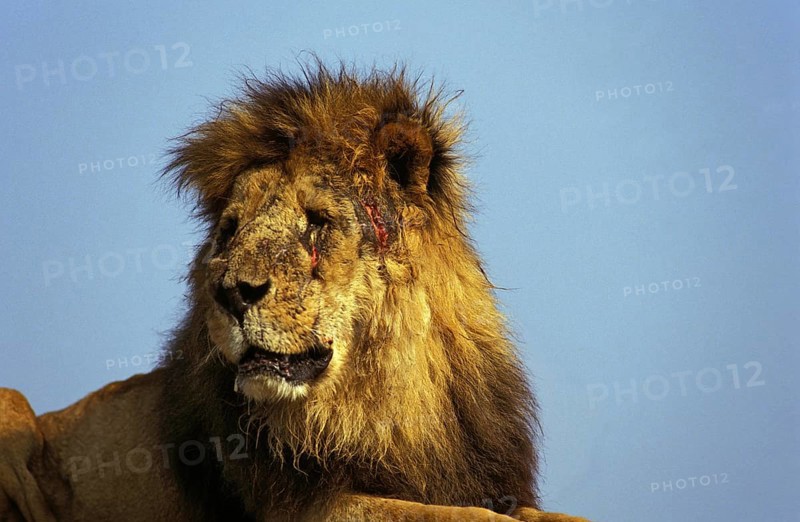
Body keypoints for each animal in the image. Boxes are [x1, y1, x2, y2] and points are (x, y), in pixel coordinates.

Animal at [0, 62, 589, 521]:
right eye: (230, 231)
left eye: (317, 222)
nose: (230, 294)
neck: (391, 399)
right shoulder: (300, 506)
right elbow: (453, 515)